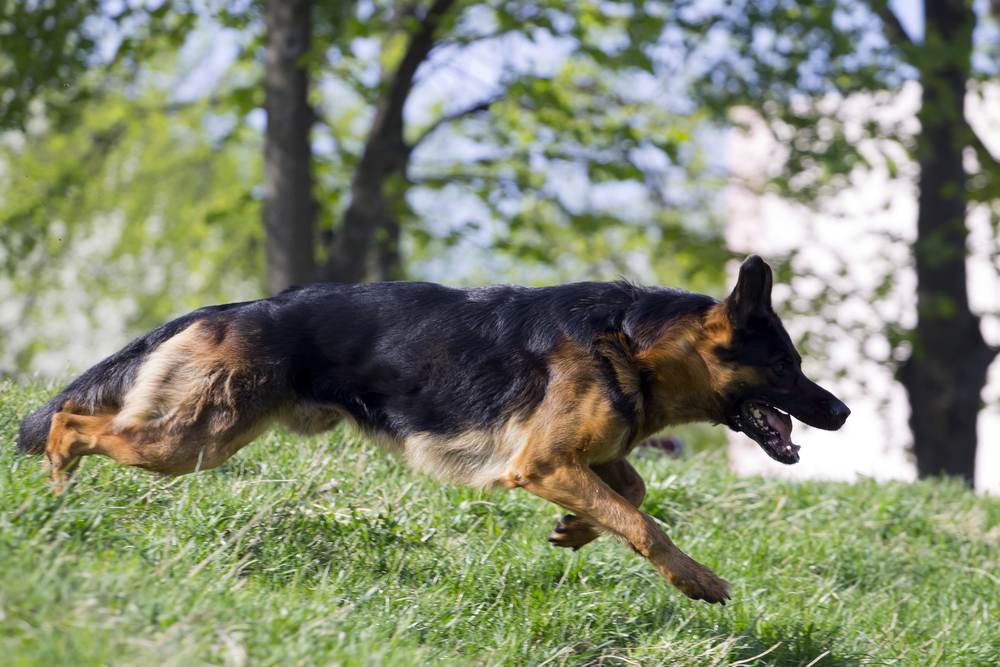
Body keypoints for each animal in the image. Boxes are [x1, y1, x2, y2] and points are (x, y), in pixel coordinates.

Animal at [15, 254, 844, 604]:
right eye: (787, 365)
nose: (841, 411)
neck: (634, 342)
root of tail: (236, 307)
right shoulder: (541, 463)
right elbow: (646, 524)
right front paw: (695, 578)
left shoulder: (576, 457)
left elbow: (632, 490)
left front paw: (577, 528)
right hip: (194, 440)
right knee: (73, 420)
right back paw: (55, 485)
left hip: (193, 436)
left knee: (90, 419)